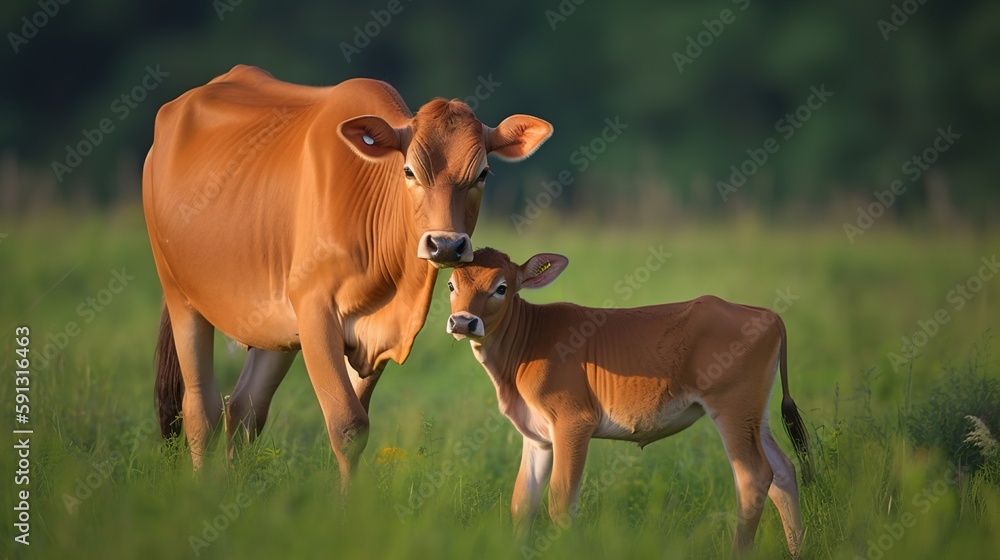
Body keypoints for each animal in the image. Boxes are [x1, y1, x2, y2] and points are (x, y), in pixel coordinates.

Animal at [142, 65, 552, 490]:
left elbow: (358, 427)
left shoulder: (374, 334)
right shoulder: (315, 315)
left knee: (244, 409)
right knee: (201, 409)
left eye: (482, 173)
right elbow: (346, 424)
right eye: (409, 170)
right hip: (180, 294)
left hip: (273, 325)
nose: (446, 245)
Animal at [445, 248, 811, 557]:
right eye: (451, 284)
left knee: (753, 477)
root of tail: (763, 312)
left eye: (501, 287)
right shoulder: (537, 437)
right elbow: (523, 503)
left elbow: (561, 502)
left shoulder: (573, 423)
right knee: (782, 472)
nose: (463, 321)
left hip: (733, 408)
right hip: (755, 416)